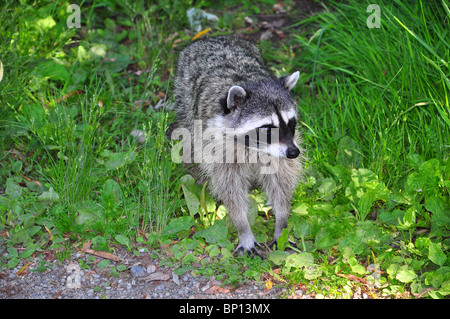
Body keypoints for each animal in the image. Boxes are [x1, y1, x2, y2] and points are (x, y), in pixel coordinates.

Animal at [171, 35, 304, 258]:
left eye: (291, 123)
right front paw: (243, 228)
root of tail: (211, 37)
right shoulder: (218, 147)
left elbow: (281, 182)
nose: (294, 153)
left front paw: (282, 222)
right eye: (267, 128)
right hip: (185, 99)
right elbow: (230, 190)